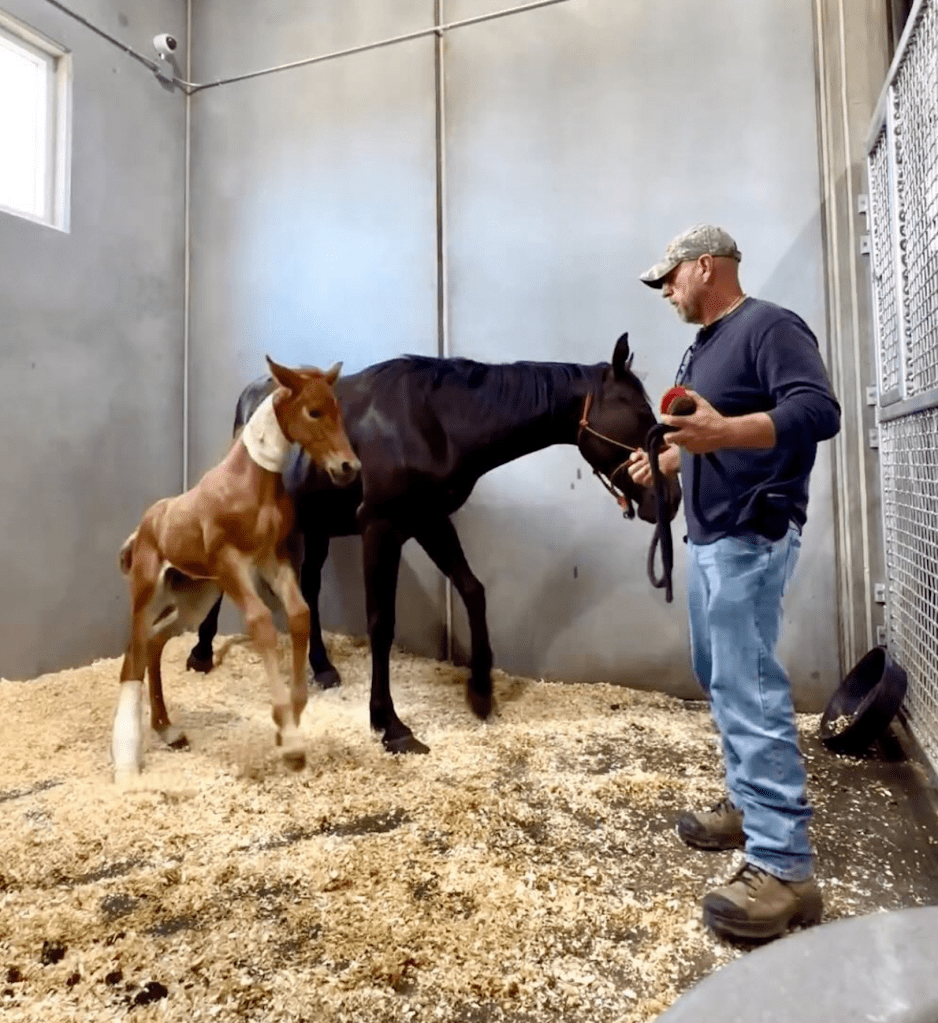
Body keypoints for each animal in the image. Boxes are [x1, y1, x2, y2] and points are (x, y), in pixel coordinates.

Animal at [110, 357, 361, 782]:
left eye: (339, 409)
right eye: (313, 411)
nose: (348, 467)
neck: (251, 483)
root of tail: (143, 527)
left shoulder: (271, 559)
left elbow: (299, 614)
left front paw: (291, 722)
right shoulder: (229, 563)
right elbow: (261, 623)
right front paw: (289, 740)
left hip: (195, 598)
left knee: (156, 643)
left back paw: (169, 730)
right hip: (148, 593)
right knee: (134, 654)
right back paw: (127, 762)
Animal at [186, 333, 682, 755]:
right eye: (640, 414)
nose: (671, 497)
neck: (435, 422)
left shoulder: (429, 522)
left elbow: (473, 590)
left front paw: (480, 693)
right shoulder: (381, 529)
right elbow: (381, 622)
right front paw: (390, 725)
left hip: (317, 526)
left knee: (308, 588)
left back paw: (321, 667)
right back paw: (201, 652)